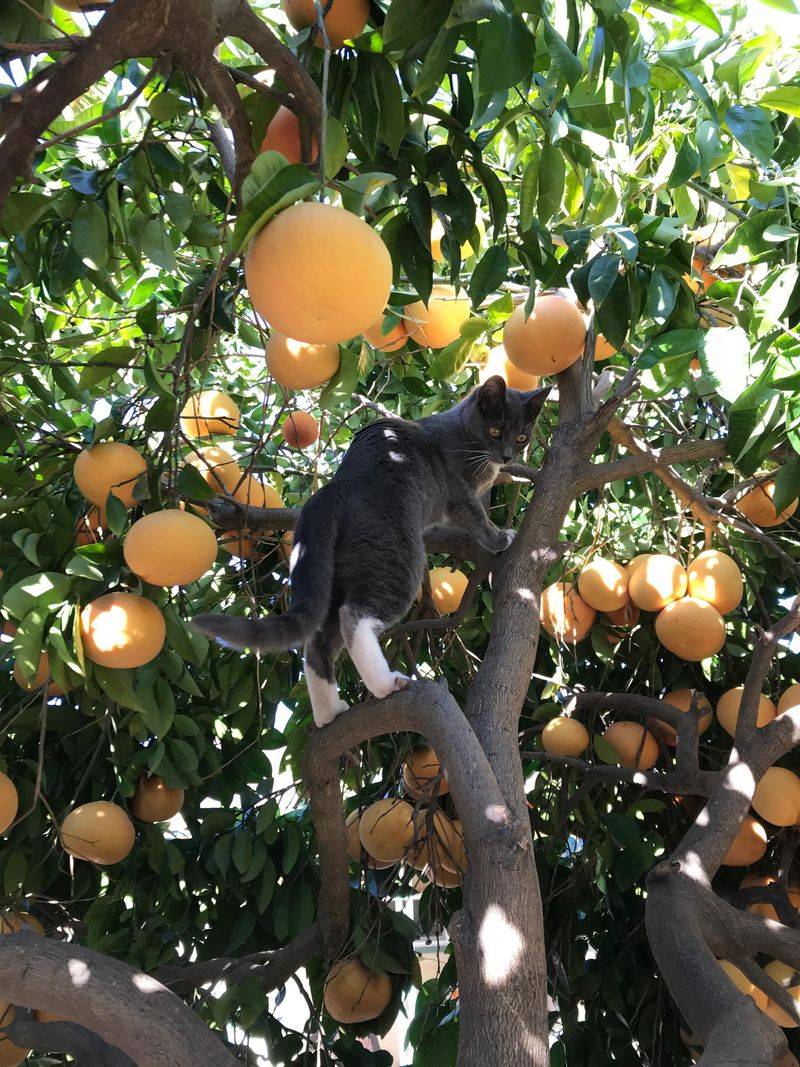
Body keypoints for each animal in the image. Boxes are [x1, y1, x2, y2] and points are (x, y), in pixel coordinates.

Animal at [194, 371, 550, 729]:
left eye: (522, 437)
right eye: (495, 431)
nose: (507, 457)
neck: (465, 433)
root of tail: (335, 488)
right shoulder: (457, 490)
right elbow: (475, 517)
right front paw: (500, 537)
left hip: (336, 570)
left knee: (320, 639)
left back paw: (329, 711)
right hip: (394, 558)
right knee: (354, 615)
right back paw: (385, 683)